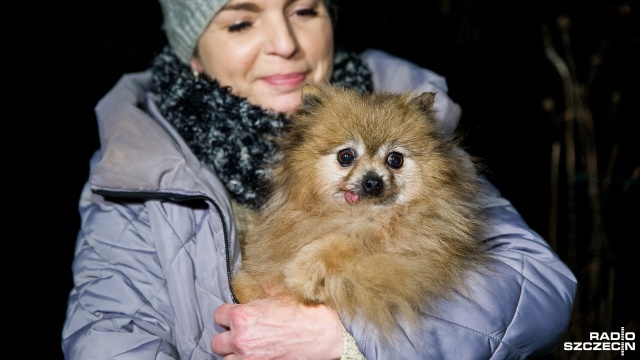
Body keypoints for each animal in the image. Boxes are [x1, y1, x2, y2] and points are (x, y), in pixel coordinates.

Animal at [232, 82, 488, 340]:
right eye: (346, 156)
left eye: (395, 159)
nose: (373, 181)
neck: (363, 215)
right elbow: (245, 279)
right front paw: (248, 288)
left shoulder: (407, 252)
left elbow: (340, 242)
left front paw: (301, 275)